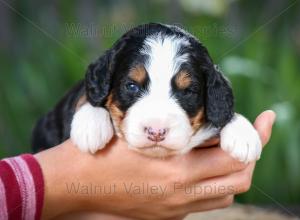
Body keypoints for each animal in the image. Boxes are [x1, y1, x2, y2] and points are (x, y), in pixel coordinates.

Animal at [32, 23, 260, 162]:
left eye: (187, 91)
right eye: (132, 86)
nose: (156, 131)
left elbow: (224, 111)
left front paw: (244, 134)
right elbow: (85, 95)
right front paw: (91, 124)